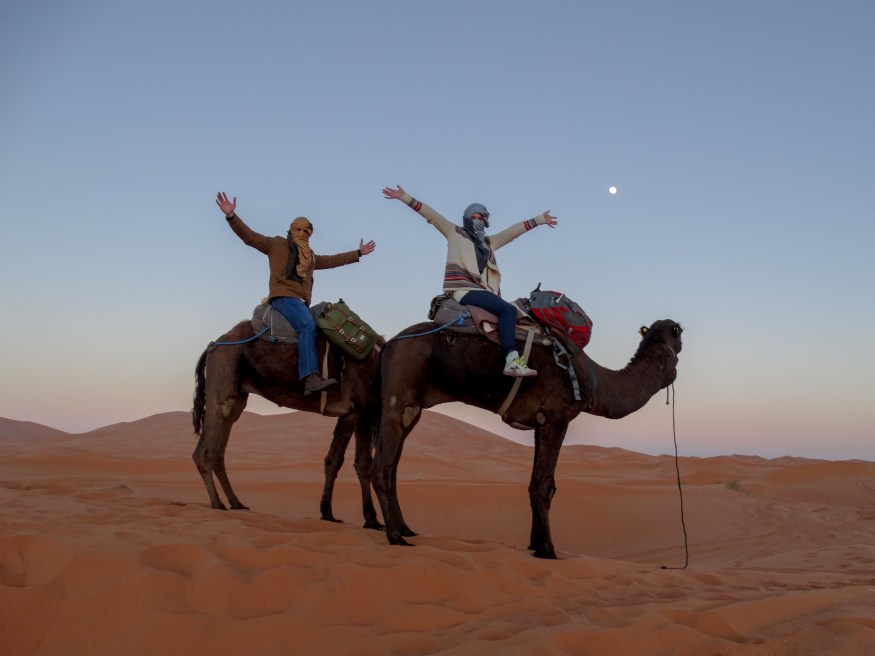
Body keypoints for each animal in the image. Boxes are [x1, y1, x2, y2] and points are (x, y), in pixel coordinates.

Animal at [192, 320, 384, 529]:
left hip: (237, 395)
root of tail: (214, 345)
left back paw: (236, 502)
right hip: (223, 378)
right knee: (204, 449)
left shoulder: (349, 414)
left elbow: (333, 460)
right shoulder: (364, 409)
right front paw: (372, 520)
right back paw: (217, 503)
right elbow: (363, 464)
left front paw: (328, 514)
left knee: (220, 444)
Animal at [371, 319, 683, 559]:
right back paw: (396, 537)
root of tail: (389, 343)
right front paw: (548, 550)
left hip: (413, 404)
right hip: (400, 389)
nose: (678, 338)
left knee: (394, 464)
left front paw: (534, 545)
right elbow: (545, 485)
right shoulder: (556, 417)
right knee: (382, 465)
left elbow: (534, 483)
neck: (596, 382)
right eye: (678, 330)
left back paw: (406, 528)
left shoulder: (539, 424)